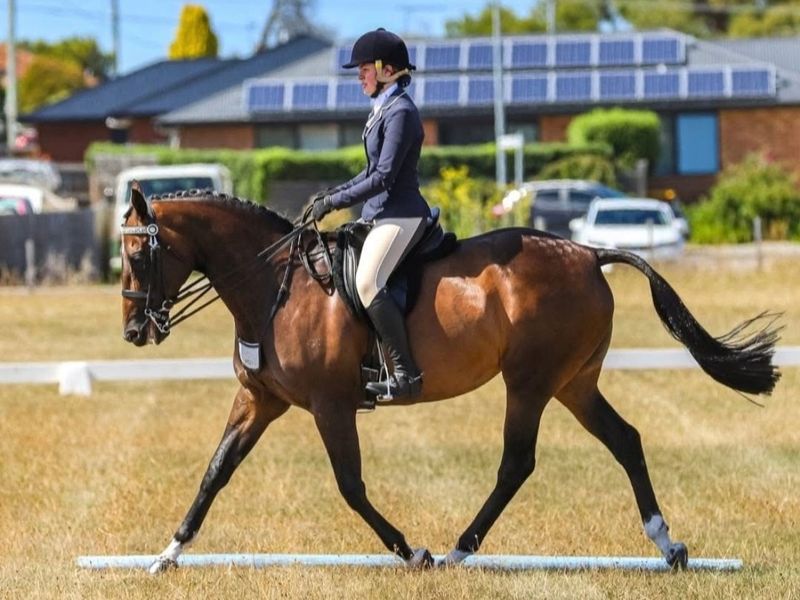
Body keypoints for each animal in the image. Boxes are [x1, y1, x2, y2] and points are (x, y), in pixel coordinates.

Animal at [119, 186, 780, 574]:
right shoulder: (259, 400)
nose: (133, 331)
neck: (277, 287)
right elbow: (215, 472)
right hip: (575, 382)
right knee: (626, 440)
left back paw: (461, 547)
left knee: (517, 462)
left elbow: (350, 486)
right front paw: (166, 556)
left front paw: (413, 551)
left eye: (138, 255)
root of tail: (590, 253)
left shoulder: (331, 406)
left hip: (530, 381)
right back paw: (669, 547)